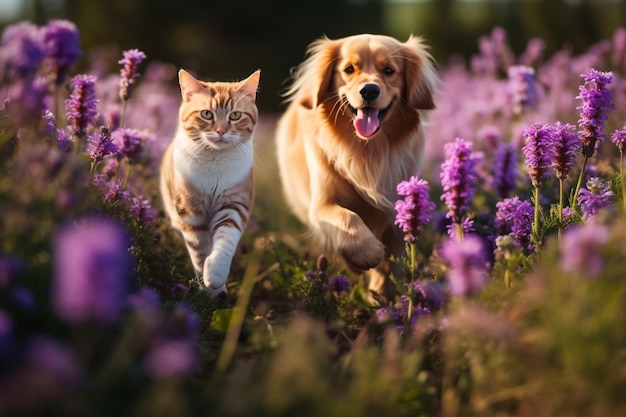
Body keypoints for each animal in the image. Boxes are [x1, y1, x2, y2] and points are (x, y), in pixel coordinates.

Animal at [161, 68, 260, 296]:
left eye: (235, 115)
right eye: (207, 114)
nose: (221, 131)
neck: (215, 160)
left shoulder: (234, 205)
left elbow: (225, 241)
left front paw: (215, 276)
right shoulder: (190, 211)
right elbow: (199, 250)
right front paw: (209, 291)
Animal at [276, 33, 436, 300]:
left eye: (389, 70)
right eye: (349, 69)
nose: (369, 89)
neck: (366, 150)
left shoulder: (395, 208)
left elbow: (392, 258)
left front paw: (383, 294)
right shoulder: (321, 206)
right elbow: (347, 218)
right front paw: (367, 252)